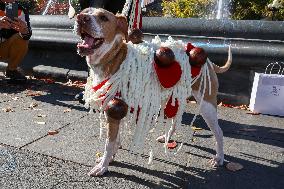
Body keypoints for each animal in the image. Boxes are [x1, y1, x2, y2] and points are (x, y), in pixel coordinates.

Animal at [74, 7, 232, 176]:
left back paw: (219, 158)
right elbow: (115, 139)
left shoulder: (114, 110)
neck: (113, 58)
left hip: (207, 105)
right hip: (172, 98)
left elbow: (109, 143)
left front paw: (103, 166)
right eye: (85, 11)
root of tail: (208, 61)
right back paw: (167, 138)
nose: (81, 17)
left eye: (103, 17)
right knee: (175, 121)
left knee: (219, 132)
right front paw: (111, 157)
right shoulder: (113, 110)